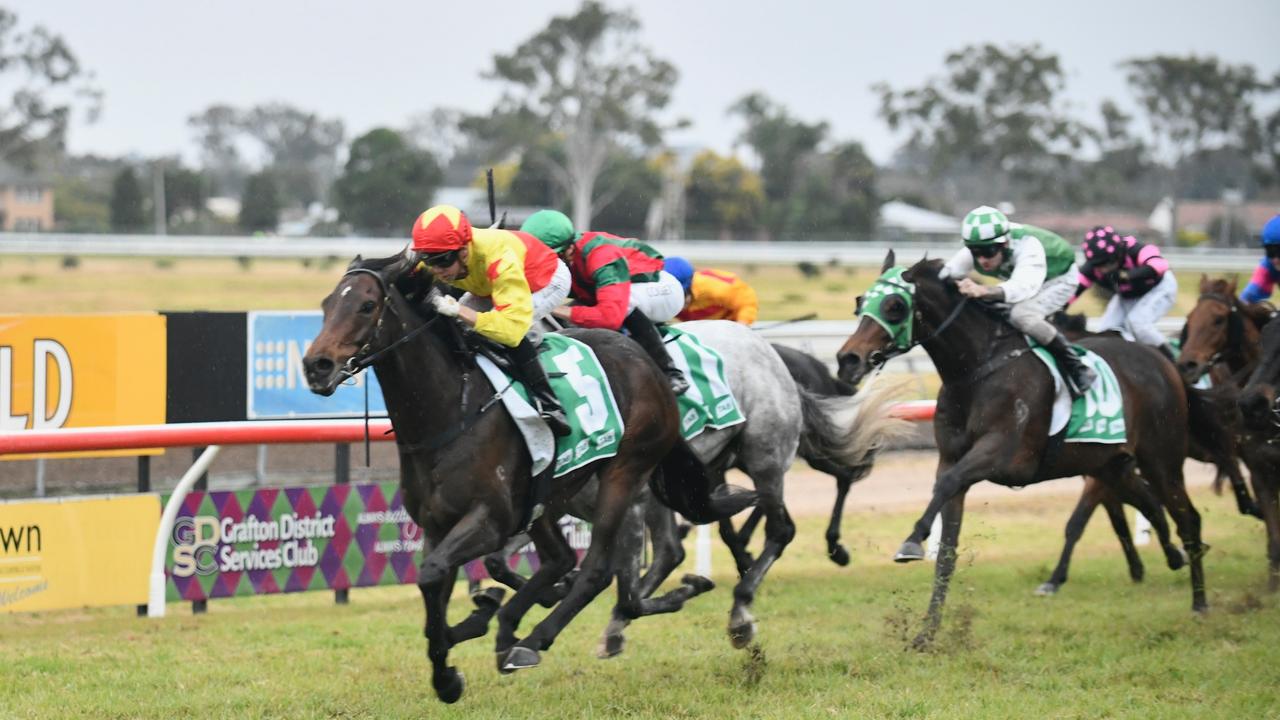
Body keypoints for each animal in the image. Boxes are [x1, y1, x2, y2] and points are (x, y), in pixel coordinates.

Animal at [299, 253, 747, 702]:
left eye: (366, 306)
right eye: (325, 304)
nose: (316, 366)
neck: (451, 411)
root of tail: (652, 366)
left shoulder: (489, 520)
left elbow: (431, 576)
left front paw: (450, 670)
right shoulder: (437, 525)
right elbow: (434, 591)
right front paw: (455, 655)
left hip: (623, 472)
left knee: (595, 569)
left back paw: (531, 640)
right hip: (550, 495)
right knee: (561, 558)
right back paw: (510, 625)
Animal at [834, 251, 1213, 645]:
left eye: (894, 306)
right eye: (861, 302)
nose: (848, 360)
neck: (975, 372)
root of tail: (1164, 362)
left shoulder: (1003, 455)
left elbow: (947, 484)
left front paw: (911, 542)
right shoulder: (953, 458)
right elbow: (947, 549)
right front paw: (927, 633)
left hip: (1162, 459)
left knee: (1188, 518)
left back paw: (1200, 603)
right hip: (1111, 464)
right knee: (1150, 503)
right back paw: (1173, 557)